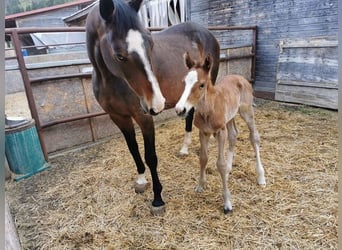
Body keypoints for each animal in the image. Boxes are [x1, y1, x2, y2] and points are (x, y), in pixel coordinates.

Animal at [85, 0, 219, 214]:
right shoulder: (119, 118)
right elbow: (133, 149)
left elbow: (151, 157)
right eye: (119, 55)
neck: (110, 80)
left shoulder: (144, 117)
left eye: (150, 45)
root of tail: (205, 32)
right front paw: (140, 180)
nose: (157, 103)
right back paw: (184, 149)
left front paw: (158, 199)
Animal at [175, 52, 266, 213]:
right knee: (234, 135)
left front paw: (227, 203)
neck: (208, 110)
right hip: (230, 117)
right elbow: (203, 158)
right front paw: (200, 185)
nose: (180, 110)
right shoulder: (203, 132)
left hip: (246, 111)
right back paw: (230, 171)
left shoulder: (220, 132)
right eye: (184, 82)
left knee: (254, 137)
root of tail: (241, 77)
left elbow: (220, 164)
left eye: (202, 85)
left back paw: (261, 177)